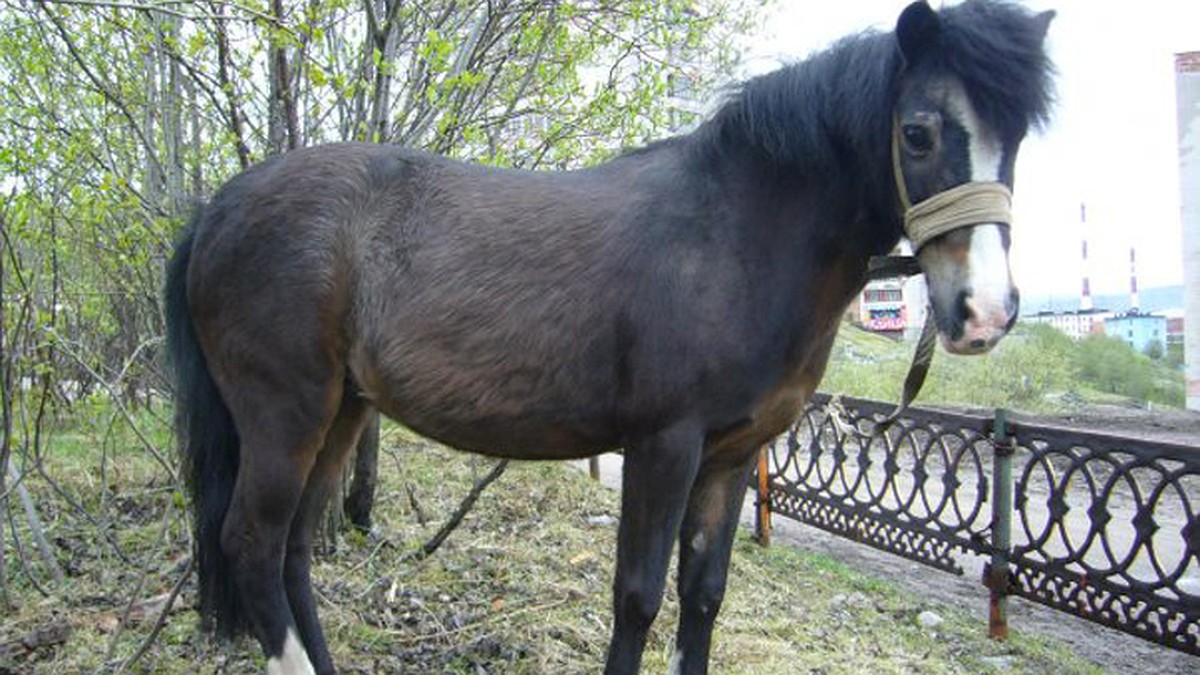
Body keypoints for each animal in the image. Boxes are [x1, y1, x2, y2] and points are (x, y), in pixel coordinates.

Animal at [166, 2, 1051, 667]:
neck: (733, 232)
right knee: (252, 542)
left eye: (1015, 140)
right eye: (918, 133)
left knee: (293, 551)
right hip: (286, 415)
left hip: (343, 411)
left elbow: (703, 598)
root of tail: (219, 207)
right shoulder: (664, 444)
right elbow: (638, 598)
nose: (985, 310)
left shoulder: (733, 455)